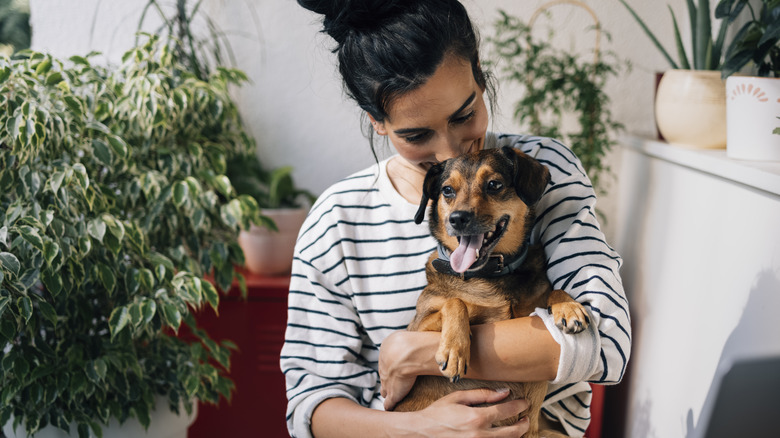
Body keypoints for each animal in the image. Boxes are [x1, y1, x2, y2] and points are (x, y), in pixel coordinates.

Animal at [394, 145, 588, 436]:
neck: (490, 274)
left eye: (494, 185)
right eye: (447, 190)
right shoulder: (415, 330)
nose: (458, 218)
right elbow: (455, 302)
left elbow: (554, 291)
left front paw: (569, 307)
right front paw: (454, 350)